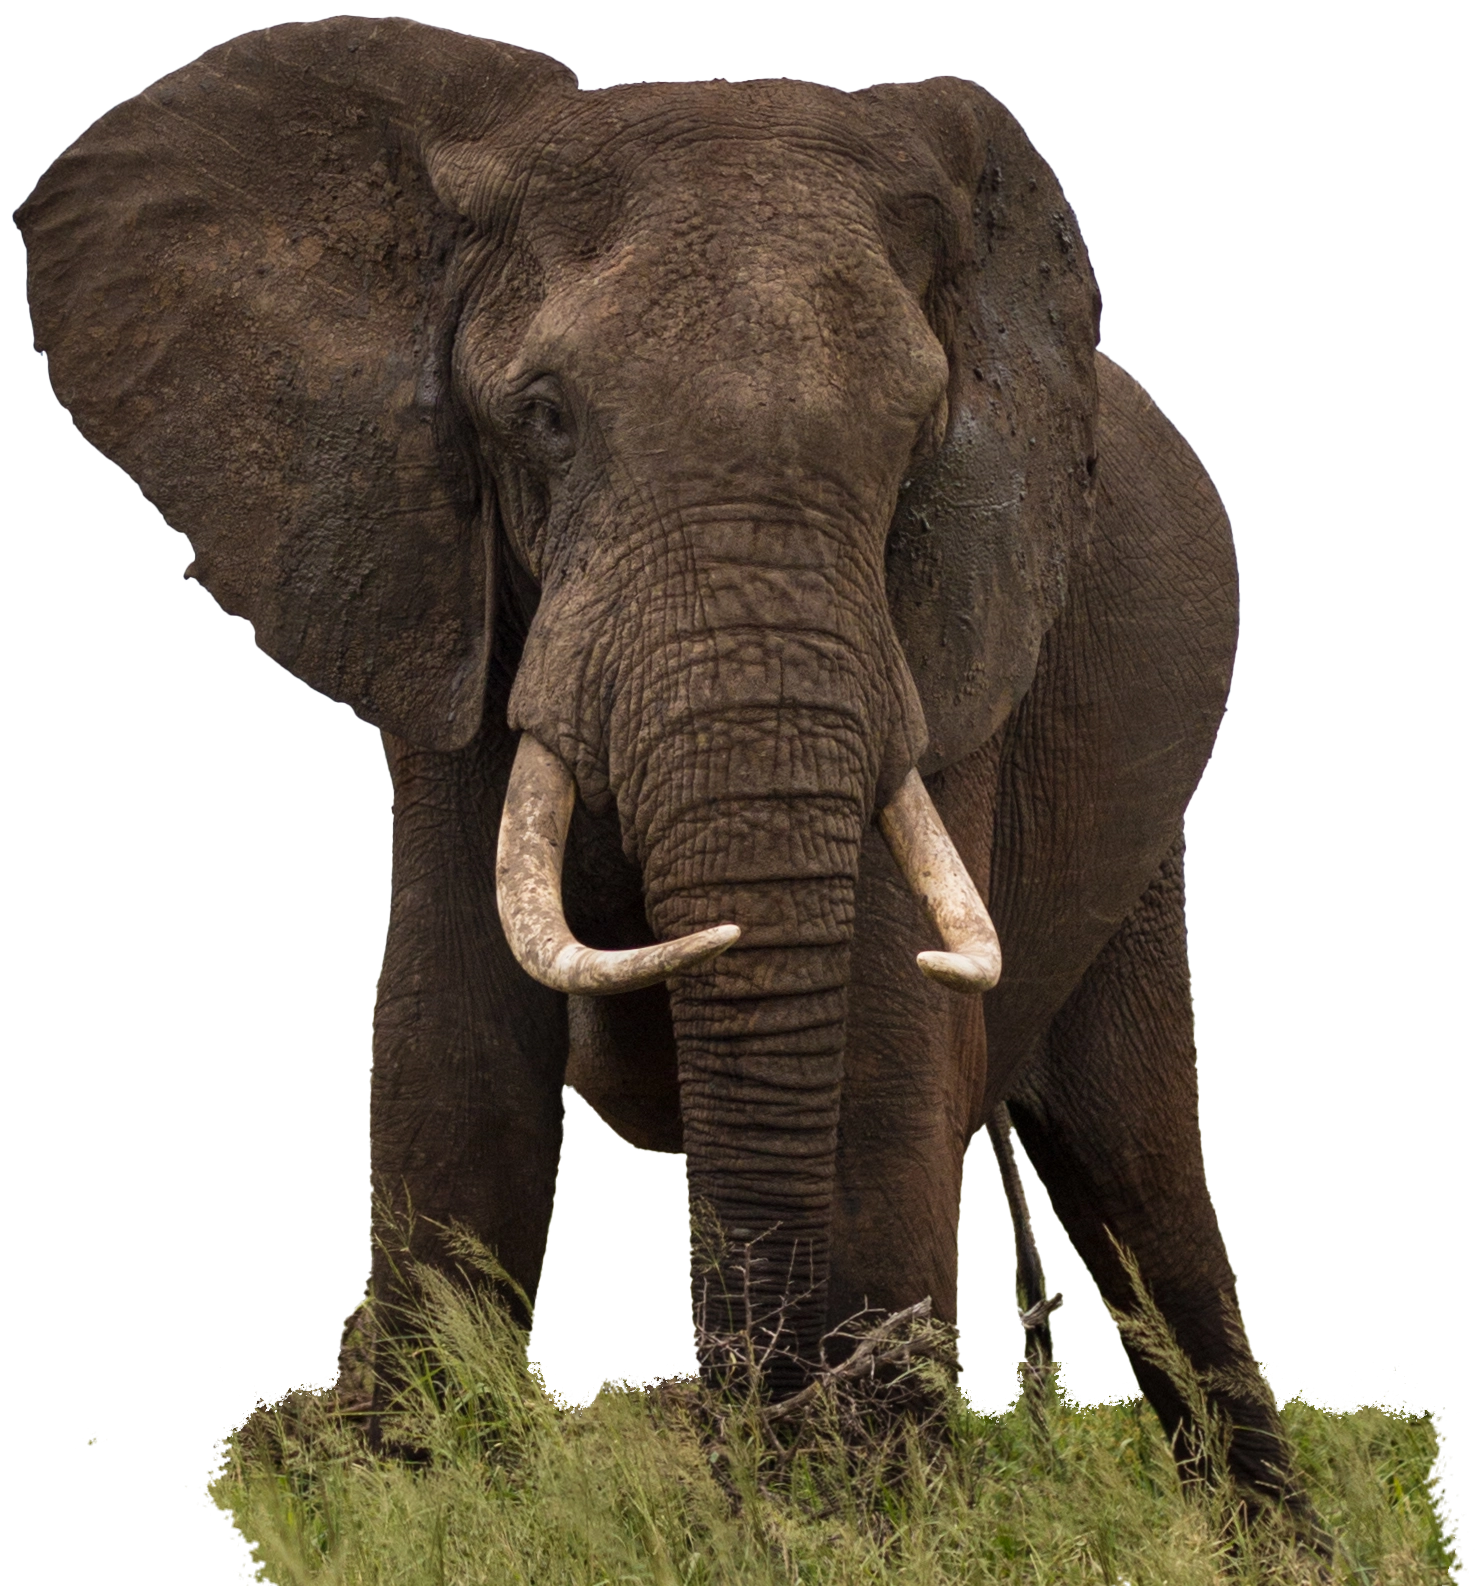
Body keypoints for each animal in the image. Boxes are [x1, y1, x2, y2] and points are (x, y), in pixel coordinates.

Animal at [15, 15, 1318, 1531]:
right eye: (544, 418)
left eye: (918, 437)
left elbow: (886, 1014)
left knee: (1143, 1186)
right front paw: (416, 1493)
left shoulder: (959, 626)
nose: (750, 1434)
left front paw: (868, 1519)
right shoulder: (433, 580)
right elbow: (453, 1030)